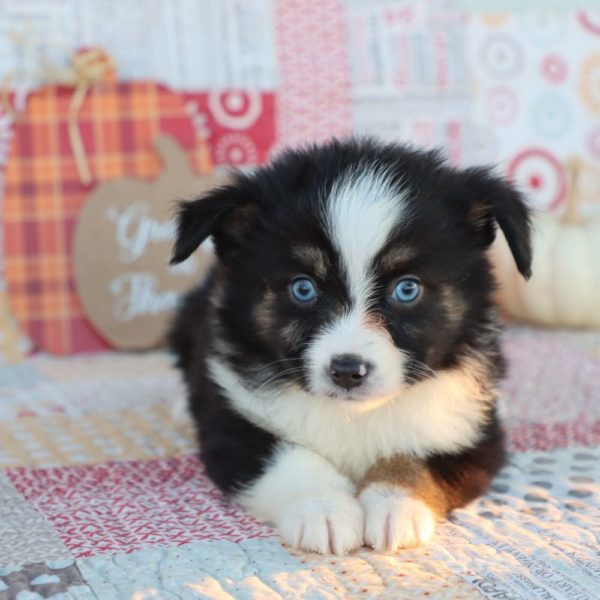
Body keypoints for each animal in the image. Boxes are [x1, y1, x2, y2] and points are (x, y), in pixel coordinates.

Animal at [168, 138, 528, 556]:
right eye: (303, 288)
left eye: (407, 289)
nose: (347, 371)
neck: (354, 416)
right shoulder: (232, 424)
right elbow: (286, 457)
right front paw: (323, 511)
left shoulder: (472, 430)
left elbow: (417, 458)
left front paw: (395, 506)